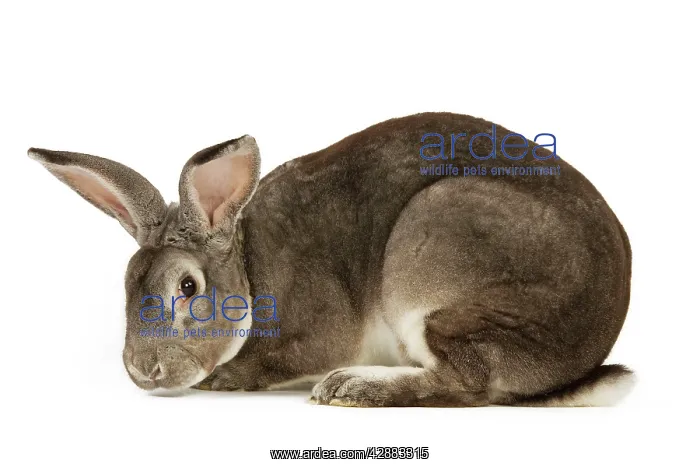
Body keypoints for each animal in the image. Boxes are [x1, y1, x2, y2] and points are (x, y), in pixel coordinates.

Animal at [28, 112, 634, 407]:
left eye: (187, 288)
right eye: (127, 284)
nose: (142, 372)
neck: (250, 269)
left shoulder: (316, 329)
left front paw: (221, 380)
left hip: (434, 272)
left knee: (466, 381)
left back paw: (350, 389)